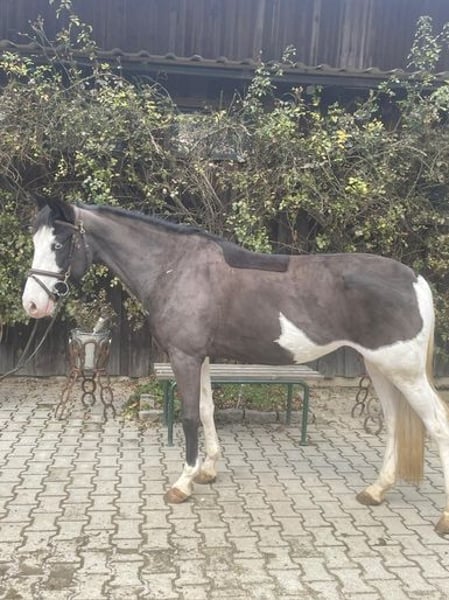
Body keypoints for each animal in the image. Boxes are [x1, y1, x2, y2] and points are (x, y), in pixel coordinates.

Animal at [22, 196, 449, 534]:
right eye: (34, 242)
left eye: (59, 243)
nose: (32, 304)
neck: (174, 267)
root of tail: (416, 280)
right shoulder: (202, 356)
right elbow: (208, 409)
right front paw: (208, 470)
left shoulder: (184, 356)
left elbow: (189, 416)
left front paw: (183, 482)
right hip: (379, 367)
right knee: (394, 422)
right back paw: (376, 490)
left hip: (404, 371)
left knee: (436, 425)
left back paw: (441, 518)